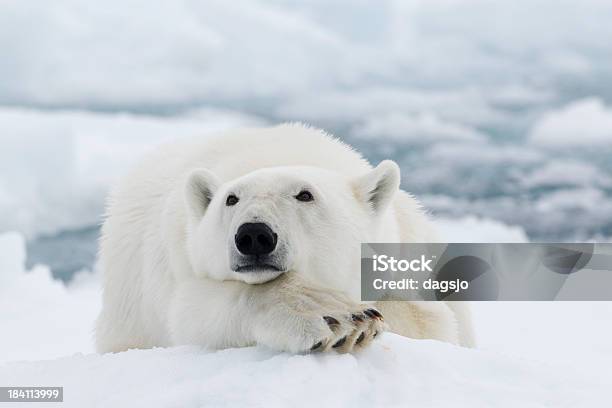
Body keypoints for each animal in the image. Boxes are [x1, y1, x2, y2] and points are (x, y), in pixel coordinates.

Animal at [95, 124, 476, 354]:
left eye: (305, 195)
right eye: (231, 199)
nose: (254, 235)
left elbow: (431, 321)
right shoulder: (180, 264)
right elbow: (194, 310)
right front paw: (337, 317)